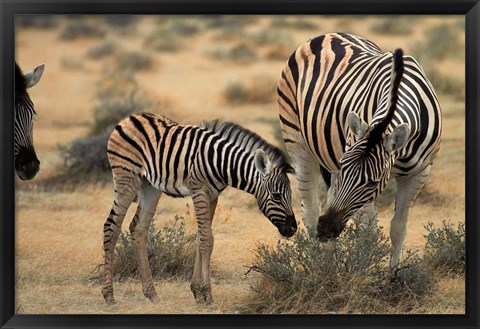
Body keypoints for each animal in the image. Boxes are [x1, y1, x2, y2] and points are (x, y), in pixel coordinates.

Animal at [102, 112, 296, 304]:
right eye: (276, 196)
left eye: (290, 195)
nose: (293, 229)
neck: (221, 163)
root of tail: (130, 117)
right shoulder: (199, 192)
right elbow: (206, 240)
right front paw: (207, 294)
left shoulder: (213, 197)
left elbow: (201, 237)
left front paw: (197, 291)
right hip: (126, 178)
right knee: (111, 226)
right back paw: (109, 295)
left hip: (150, 186)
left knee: (139, 229)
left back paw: (151, 294)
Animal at [278, 33, 442, 268]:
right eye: (346, 169)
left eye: (372, 182)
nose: (325, 229)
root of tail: (327, 35)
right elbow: (368, 231)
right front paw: (363, 269)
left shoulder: (419, 173)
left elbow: (398, 228)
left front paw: (393, 274)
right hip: (297, 141)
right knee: (310, 210)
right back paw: (315, 265)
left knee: (328, 198)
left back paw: (330, 262)